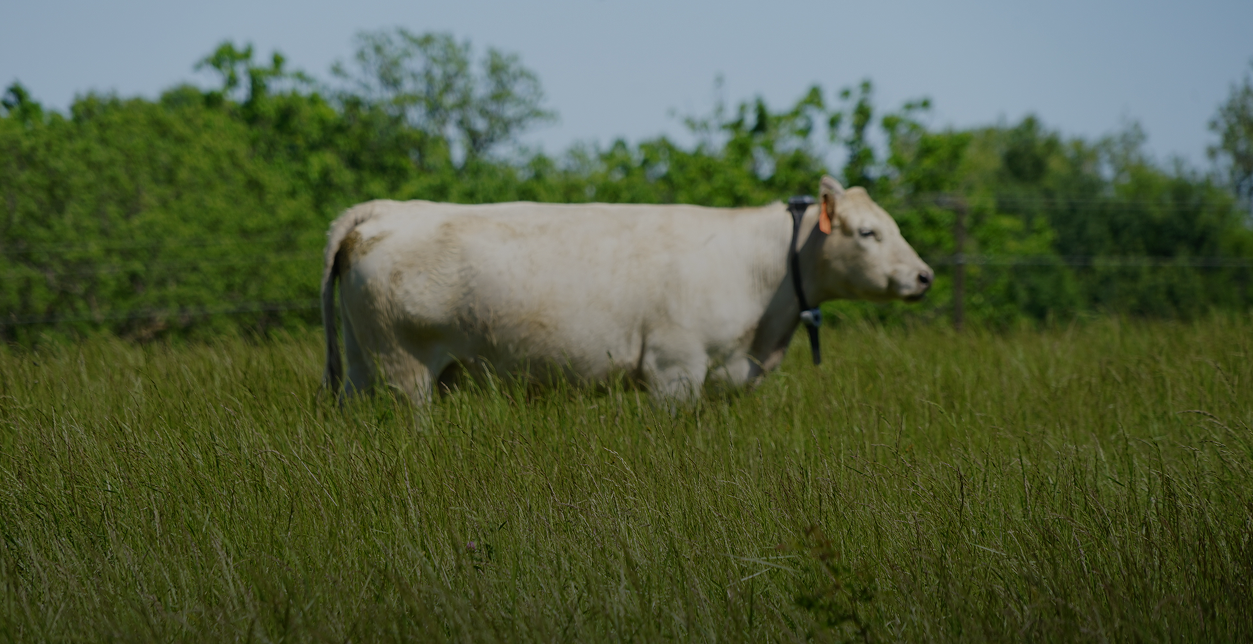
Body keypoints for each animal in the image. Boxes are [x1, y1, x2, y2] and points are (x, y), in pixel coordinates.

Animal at [321, 176, 932, 403]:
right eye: (868, 232)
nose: (925, 275)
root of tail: (385, 210)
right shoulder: (673, 369)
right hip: (404, 369)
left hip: (361, 363)